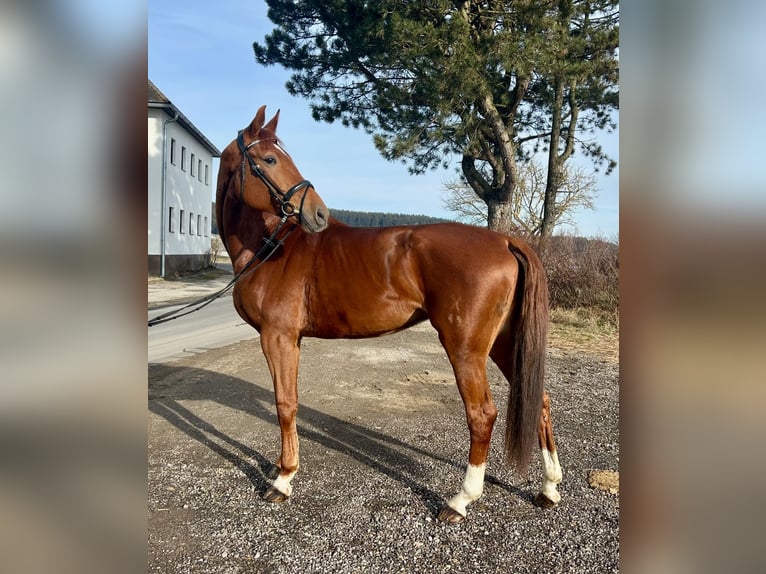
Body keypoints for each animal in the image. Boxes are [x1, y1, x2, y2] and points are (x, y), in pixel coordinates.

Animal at [216, 106, 564, 524]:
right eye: (269, 159)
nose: (318, 213)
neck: (268, 247)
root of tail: (504, 240)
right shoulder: (290, 340)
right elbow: (290, 402)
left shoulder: (277, 336)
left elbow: (285, 405)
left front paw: (282, 481)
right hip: (503, 343)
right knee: (539, 401)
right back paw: (548, 488)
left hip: (466, 348)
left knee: (482, 415)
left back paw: (460, 500)